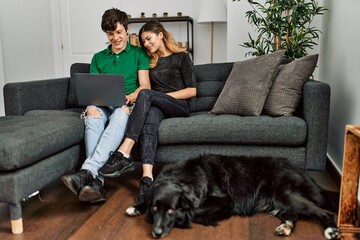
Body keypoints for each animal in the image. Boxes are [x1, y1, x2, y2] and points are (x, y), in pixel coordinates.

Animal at [126, 155, 340, 239]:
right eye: (155, 209)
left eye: (171, 211)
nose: (156, 233)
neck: (186, 177)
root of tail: (299, 170)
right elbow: (146, 198)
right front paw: (136, 206)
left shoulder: (224, 202)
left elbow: (194, 211)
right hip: (279, 200)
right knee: (293, 215)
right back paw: (285, 227)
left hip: (289, 194)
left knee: (322, 212)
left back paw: (331, 230)